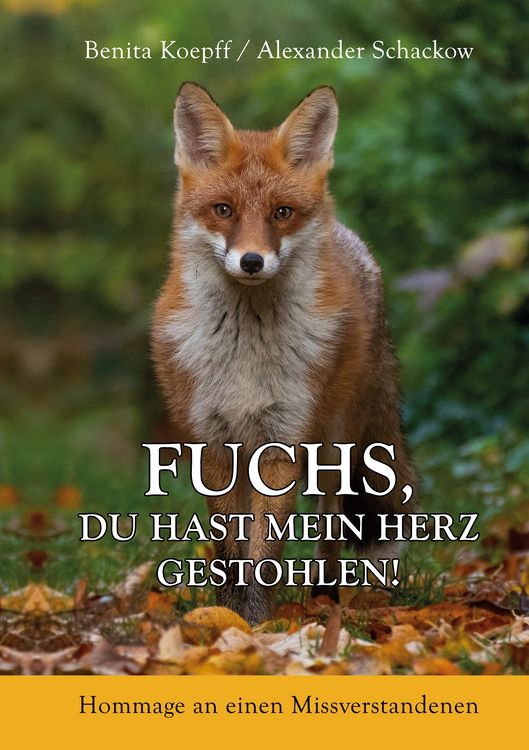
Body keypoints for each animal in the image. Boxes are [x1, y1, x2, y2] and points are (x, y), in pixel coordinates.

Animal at [152, 82, 417, 625]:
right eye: (224, 210)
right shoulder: (214, 444)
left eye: (281, 212)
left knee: (331, 526)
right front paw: (227, 618)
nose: (252, 260)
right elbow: (229, 552)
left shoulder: (281, 442)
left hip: (336, 445)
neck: (245, 357)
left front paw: (257, 625)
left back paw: (324, 598)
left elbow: (265, 554)